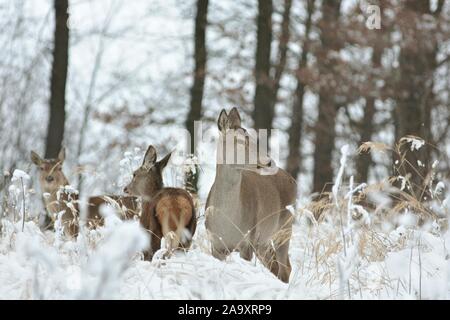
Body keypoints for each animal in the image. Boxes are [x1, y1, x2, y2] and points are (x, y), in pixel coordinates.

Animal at [203, 108, 296, 282]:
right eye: (240, 141)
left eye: (254, 139)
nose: (268, 161)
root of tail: (292, 179)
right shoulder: (216, 244)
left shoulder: (248, 240)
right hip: (264, 240)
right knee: (274, 264)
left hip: (285, 226)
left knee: (285, 267)